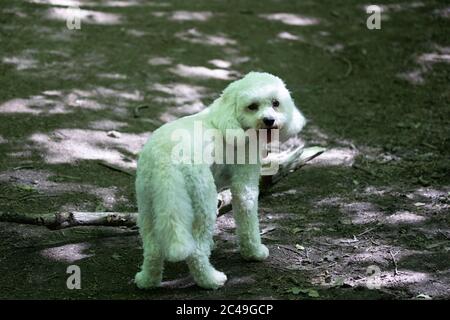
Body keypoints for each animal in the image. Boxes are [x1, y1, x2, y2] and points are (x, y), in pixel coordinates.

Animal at [134, 72, 306, 290]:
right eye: (252, 106)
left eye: (276, 103)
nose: (269, 120)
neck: (229, 119)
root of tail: (165, 162)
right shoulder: (244, 185)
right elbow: (248, 221)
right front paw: (254, 253)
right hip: (202, 202)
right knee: (196, 251)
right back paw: (211, 280)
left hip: (148, 205)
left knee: (153, 250)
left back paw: (147, 281)